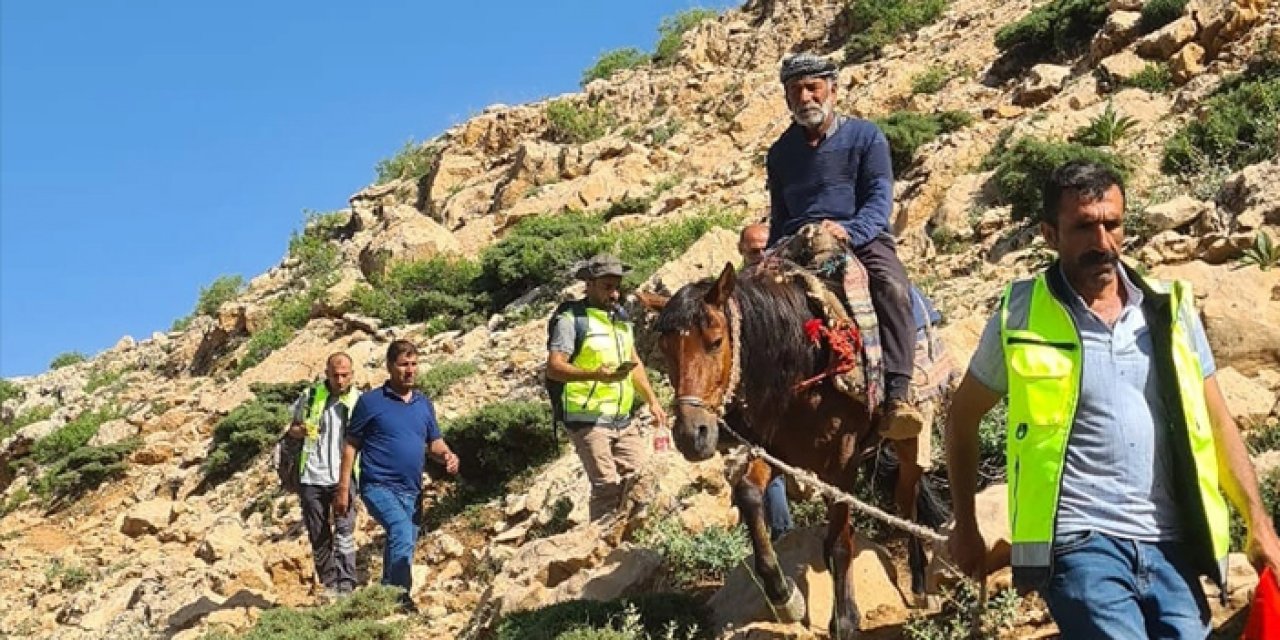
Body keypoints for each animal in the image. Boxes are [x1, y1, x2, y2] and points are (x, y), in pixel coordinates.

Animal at [645, 262, 947, 637]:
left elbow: (839, 543)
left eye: (715, 342)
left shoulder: (841, 464)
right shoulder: (775, 452)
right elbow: (748, 494)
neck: (801, 369)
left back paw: (920, 586)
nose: (691, 435)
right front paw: (784, 597)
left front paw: (844, 621)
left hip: (910, 440)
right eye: (665, 350)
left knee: (907, 501)